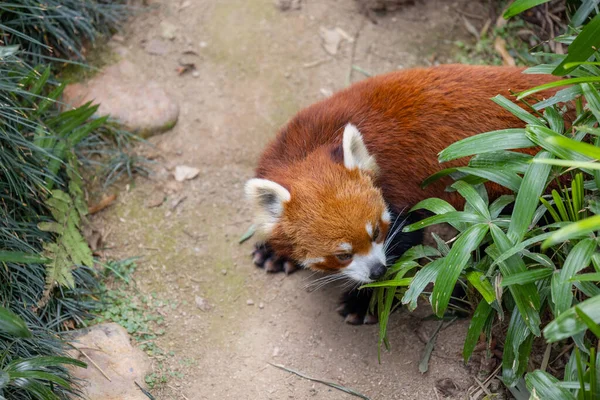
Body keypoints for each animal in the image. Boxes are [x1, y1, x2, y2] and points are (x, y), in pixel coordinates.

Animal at [246, 65, 560, 322]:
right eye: (342, 255)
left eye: (376, 233)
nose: (377, 271)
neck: (312, 146)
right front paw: (275, 251)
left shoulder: (397, 188)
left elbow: (404, 241)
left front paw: (365, 301)